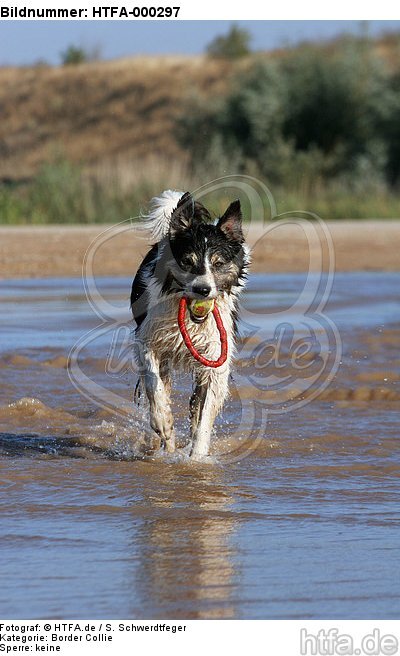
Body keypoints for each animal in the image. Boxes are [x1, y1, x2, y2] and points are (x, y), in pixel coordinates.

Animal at [132, 188, 250, 456]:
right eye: (187, 261)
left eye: (218, 263)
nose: (202, 290)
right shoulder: (147, 339)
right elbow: (154, 384)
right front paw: (163, 422)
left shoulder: (216, 358)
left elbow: (204, 415)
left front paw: (196, 458)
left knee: (195, 405)